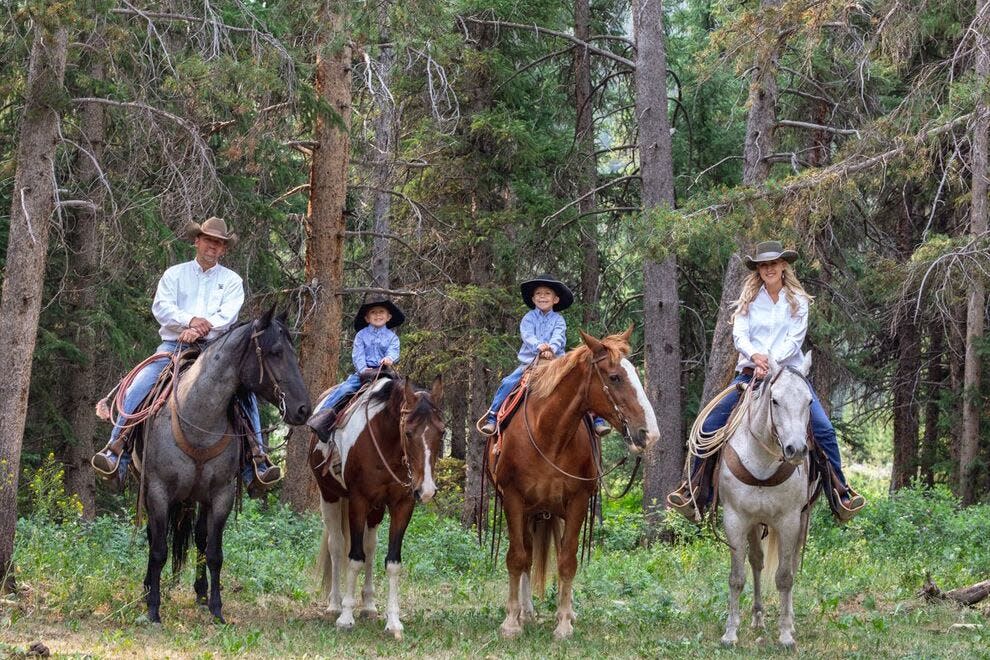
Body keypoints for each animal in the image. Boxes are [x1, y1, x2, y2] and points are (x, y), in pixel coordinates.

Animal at [141, 310, 312, 624]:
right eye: (276, 352)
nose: (303, 409)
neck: (198, 420)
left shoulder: (221, 495)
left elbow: (214, 553)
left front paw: (216, 609)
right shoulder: (158, 491)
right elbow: (158, 550)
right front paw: (153, 609)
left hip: (198, 497)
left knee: (199, 538)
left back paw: (200, 593)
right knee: (153, 537)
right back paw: (148, 589)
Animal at [310, 376, 446, 640]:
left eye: (442, 432)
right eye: (408, 432)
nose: (426, 490)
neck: (386, 444)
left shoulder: (402, 505)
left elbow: (392, 563)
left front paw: (393, 622)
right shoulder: (358, 501)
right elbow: (354, 558)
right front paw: (346, 617)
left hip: (375, 510)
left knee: (370, 548)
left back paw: (369, 606)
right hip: (329, 496)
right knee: (337, 545)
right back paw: (334, 604)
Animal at [486, 328, 660, 640]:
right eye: (615, 377)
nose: (649, 433)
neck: (547, 433)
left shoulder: (577, 502)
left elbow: (567, 560)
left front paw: (564, 622)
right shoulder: (513, 500)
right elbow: (517, 558)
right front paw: (511, 622)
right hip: (529, 510)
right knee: (527, 554)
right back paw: (526, 612)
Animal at [716, 354, 816, 648]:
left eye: (809, 401)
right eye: (775, 400)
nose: (797, 449)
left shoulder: (789, 520)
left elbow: (784, 577)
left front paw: (785, 635)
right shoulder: (735, 519)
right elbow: (737, 578)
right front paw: (730, 633)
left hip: (801, 520)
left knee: (790, 564)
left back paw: (789, 622)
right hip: (754, 523)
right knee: (757, 563)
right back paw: (758, 618)